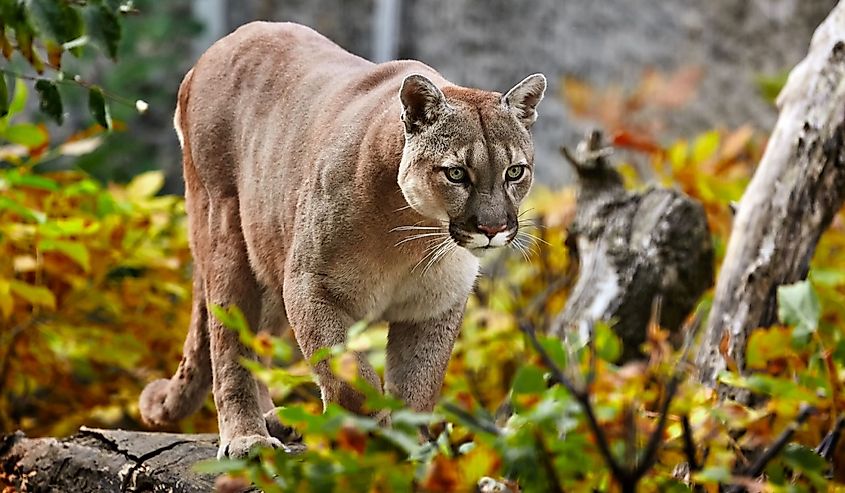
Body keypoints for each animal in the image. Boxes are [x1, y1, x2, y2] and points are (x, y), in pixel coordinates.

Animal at [138, 21, 548, 460]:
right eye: (456, 173)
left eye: (515, 171)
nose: (492, 228)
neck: (412, 236)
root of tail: (217, 48)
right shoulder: (310, 288)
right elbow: (350, 376)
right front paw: (364, 439)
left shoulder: (433, 308)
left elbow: (418, 389)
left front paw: (409, 449)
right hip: (228, 232)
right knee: (230, 345)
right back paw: (249, 438)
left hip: (270, 261)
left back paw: (277, 420)